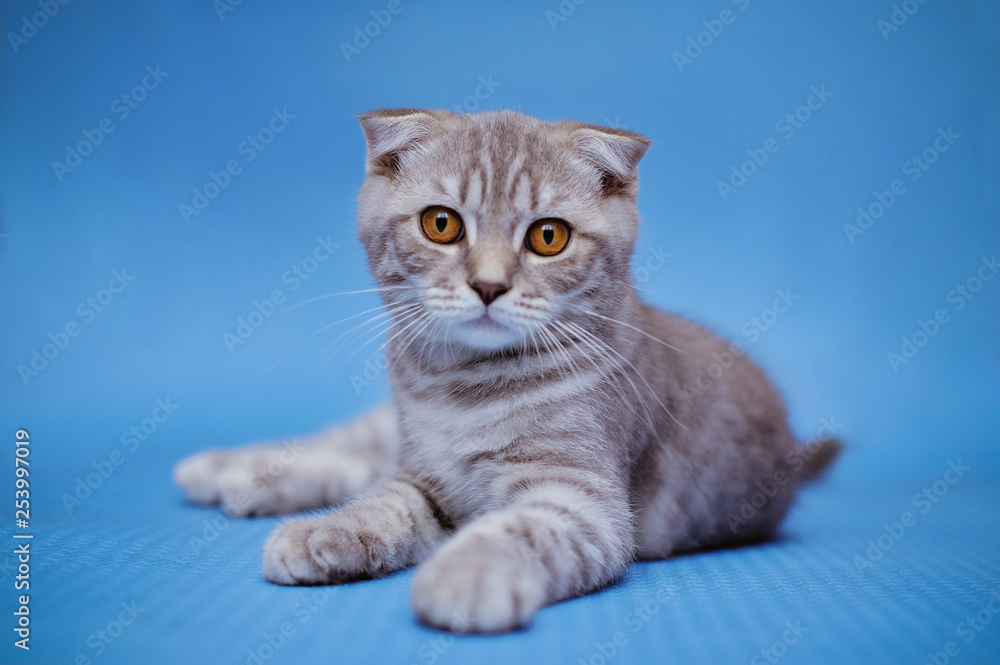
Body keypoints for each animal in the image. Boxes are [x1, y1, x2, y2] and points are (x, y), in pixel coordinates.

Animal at [176, 109, 840, 632]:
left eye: (548, 236)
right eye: (441, 223)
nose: (489, 285)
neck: (461, 391)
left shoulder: (584, 500)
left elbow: (516, 529)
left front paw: (467, 575)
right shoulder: (423, 474)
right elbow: (384, 502)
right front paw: (325, 531)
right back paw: (229, 470)